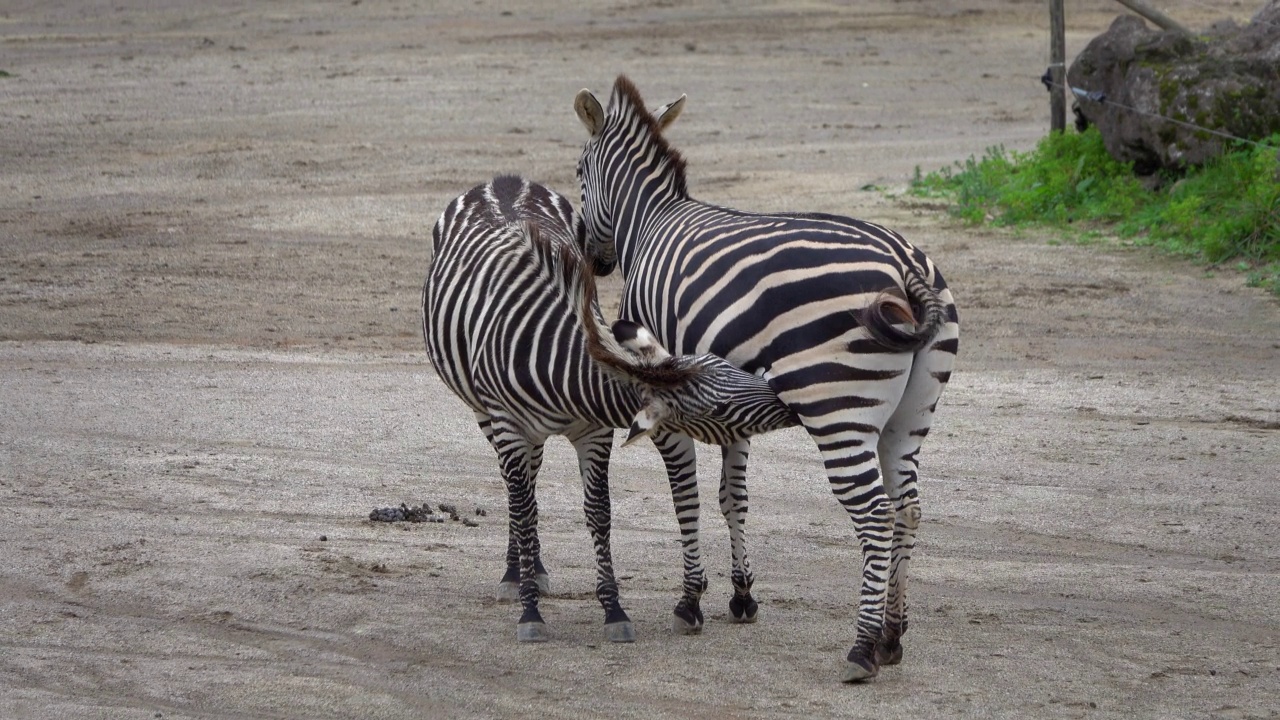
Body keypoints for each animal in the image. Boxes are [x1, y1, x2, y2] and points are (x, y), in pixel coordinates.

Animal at [424, 176, 793, 640]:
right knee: (517, 493)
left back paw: (533, 568)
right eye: (721, 409)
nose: (787, 401)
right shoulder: (508, 425)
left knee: (530, 480)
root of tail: (504, 181)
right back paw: (516, 574)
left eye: (727, 366)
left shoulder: (594, 431)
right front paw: (531, 613)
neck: (560, 366)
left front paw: (613, 610)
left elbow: (599, 513)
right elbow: (524, 511)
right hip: (485, 414)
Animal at [573, 78, 962, 676]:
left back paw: (862, 648)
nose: (594, 260)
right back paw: (893, 636)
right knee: (907, 509)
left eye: (577, 170)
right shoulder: (726, 402)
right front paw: (742, 595)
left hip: (837, 407)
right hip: (909, 417)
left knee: (874, 513)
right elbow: (734, 496)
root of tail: (907, 266)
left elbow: (686, 495)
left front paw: (691, 601)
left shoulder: (666, 396)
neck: (650, 218)